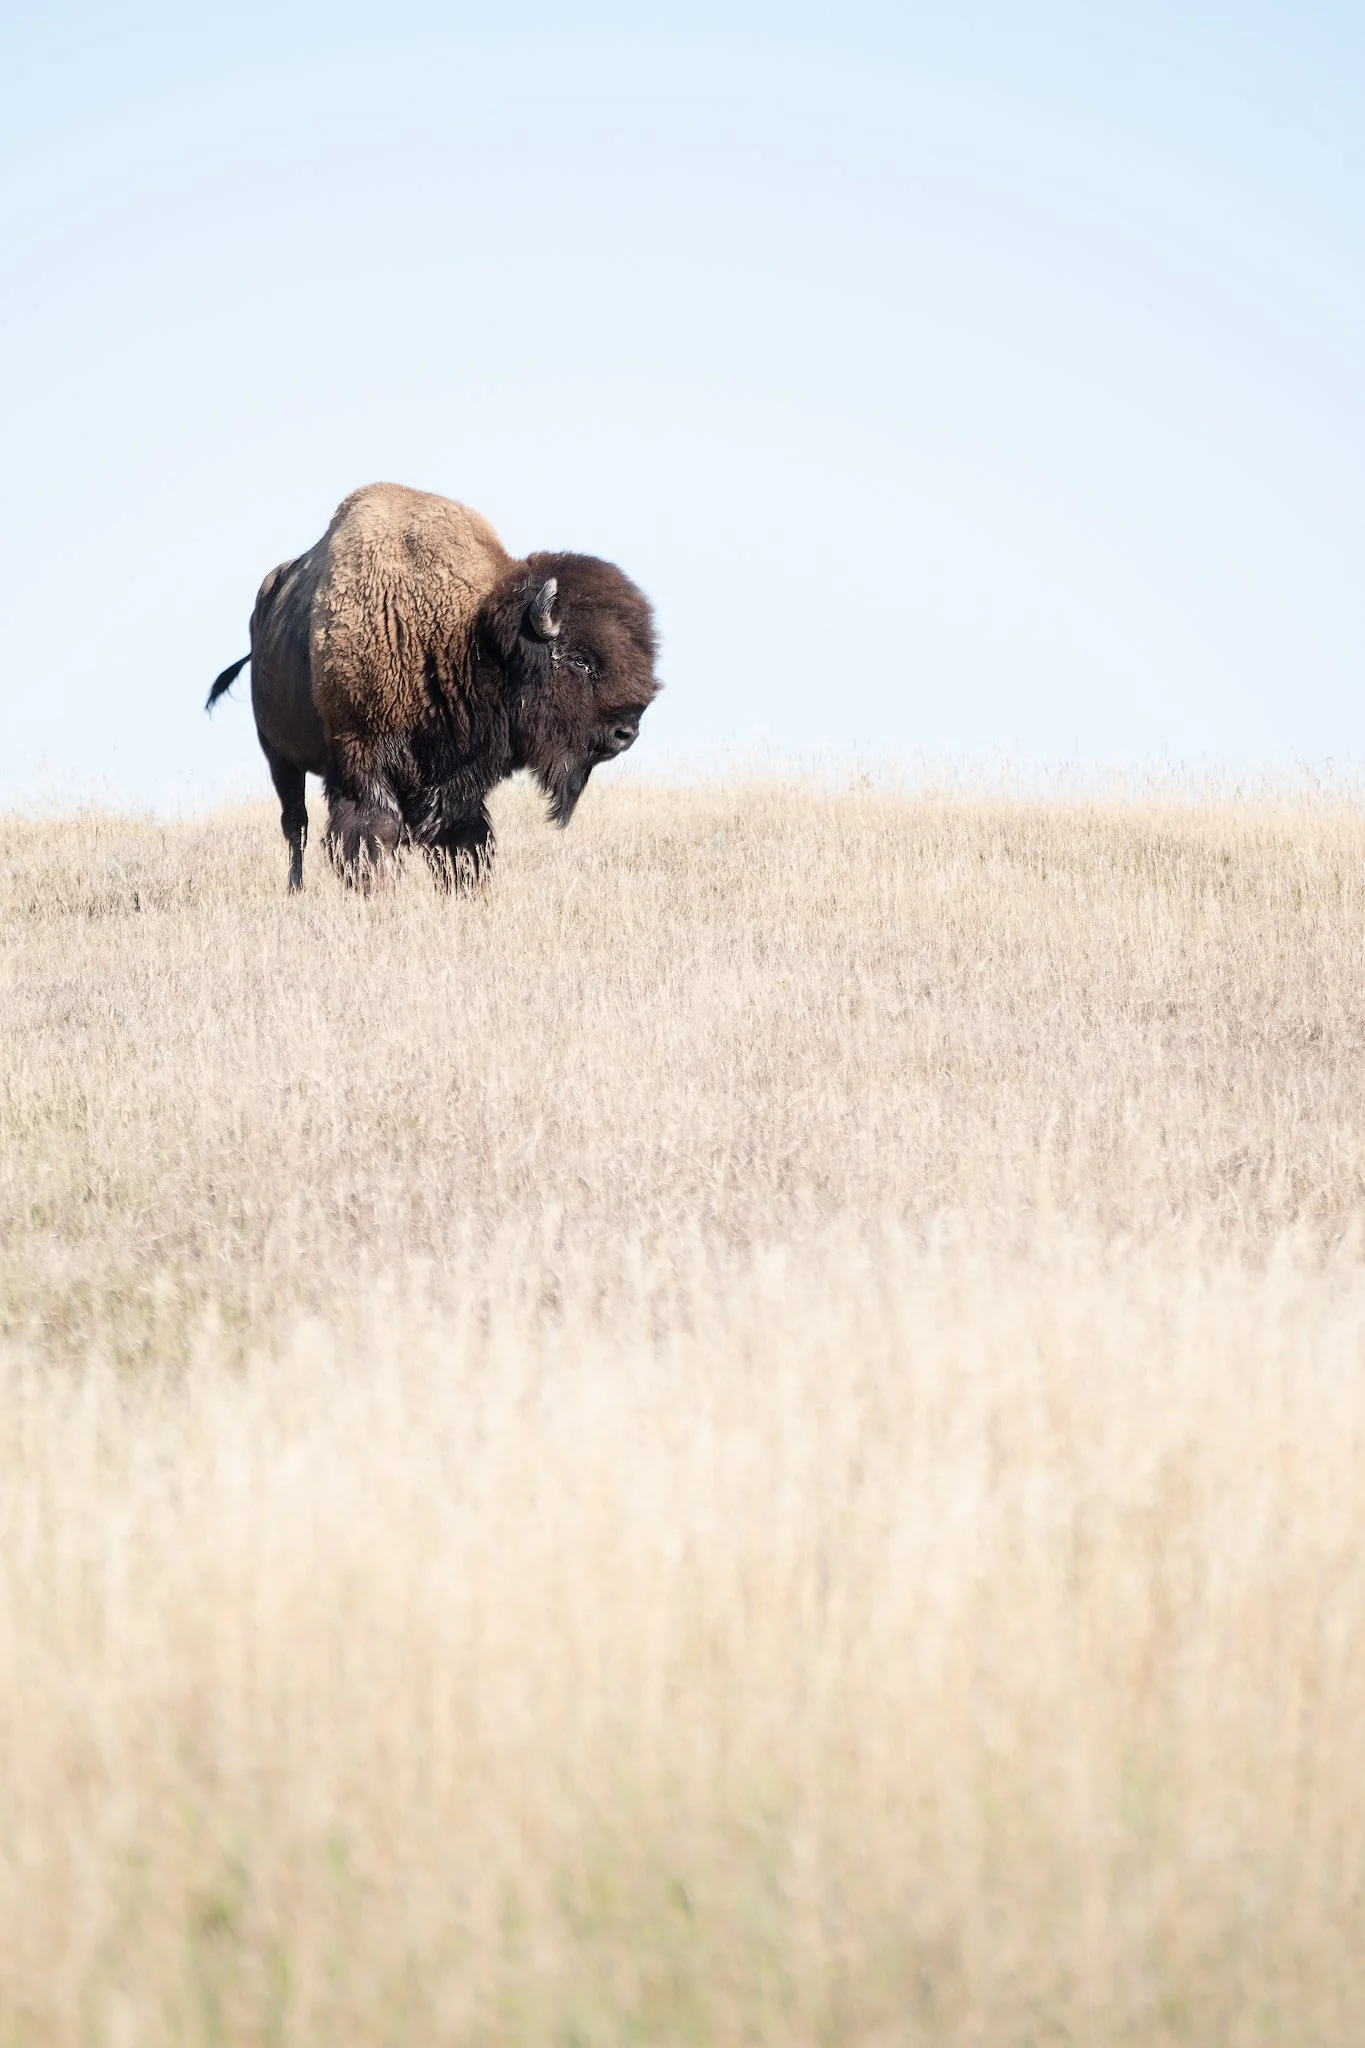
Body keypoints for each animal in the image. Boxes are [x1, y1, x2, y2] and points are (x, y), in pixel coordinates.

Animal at [207, 483, 659, 889]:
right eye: (581, 660)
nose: (626, 732)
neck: (466, 637)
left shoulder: (456, 783)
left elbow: (465, 841)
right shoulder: (364, 760)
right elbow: (373, 835)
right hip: (279, 755)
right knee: (295, 824)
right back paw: (296, 888)